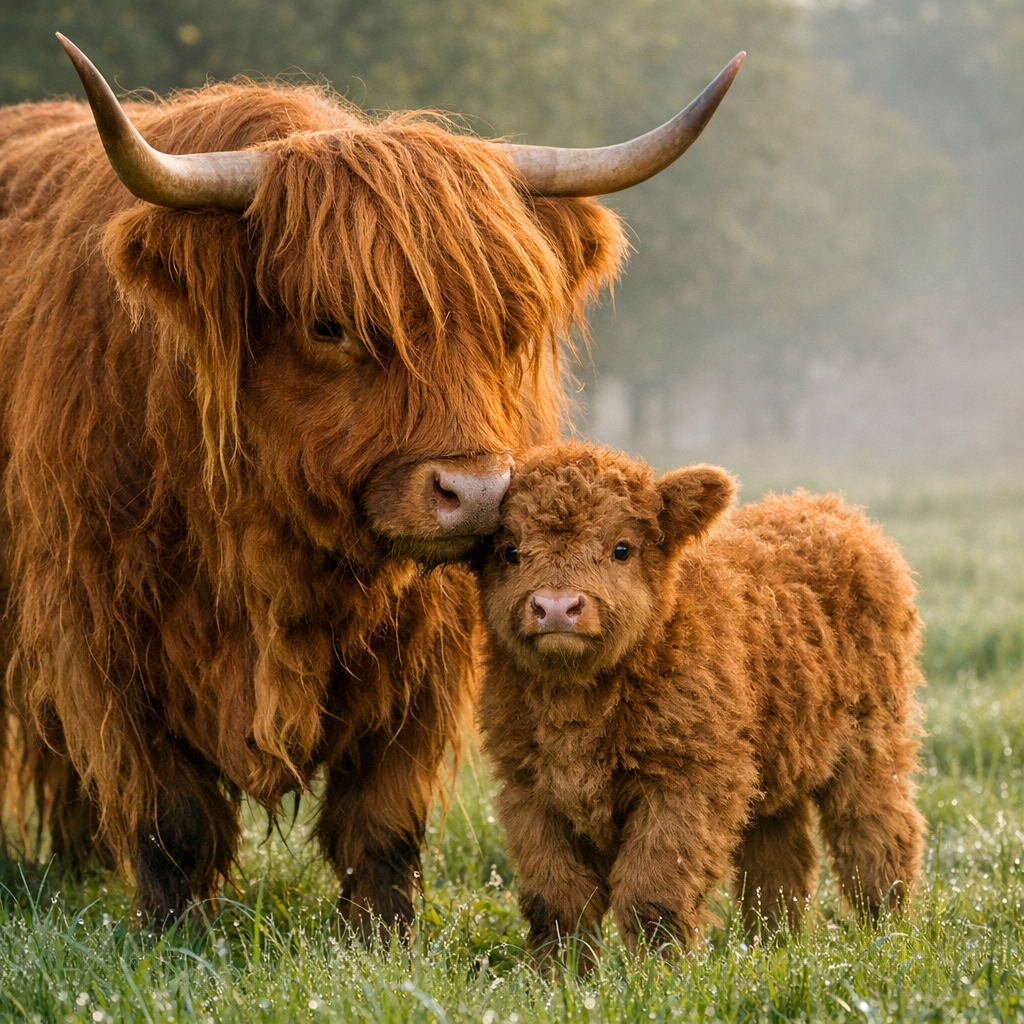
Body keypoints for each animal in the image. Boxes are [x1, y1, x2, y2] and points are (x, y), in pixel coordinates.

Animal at [0, 36, 743, 932]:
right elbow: (170, 816)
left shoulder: (431, 641)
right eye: (329, 324)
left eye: (507, 322)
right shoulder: (100, 625)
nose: (478, 493)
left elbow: (383, 815)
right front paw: (177, 933)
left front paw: (380, 934)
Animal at [476, 443, 926, 965]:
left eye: (621, 548)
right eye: (509, 550)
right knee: (778, 865)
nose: (555, 607)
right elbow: (556, 900)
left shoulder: (692, 781)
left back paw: (889, 935)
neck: (574, 709)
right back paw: (774, 947)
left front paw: (658, 974)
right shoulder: (527, 789)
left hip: (873, 743)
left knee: (876, 838)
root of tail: (827, 507)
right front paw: (558, 977)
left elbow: (652, 894)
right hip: (776, 760)